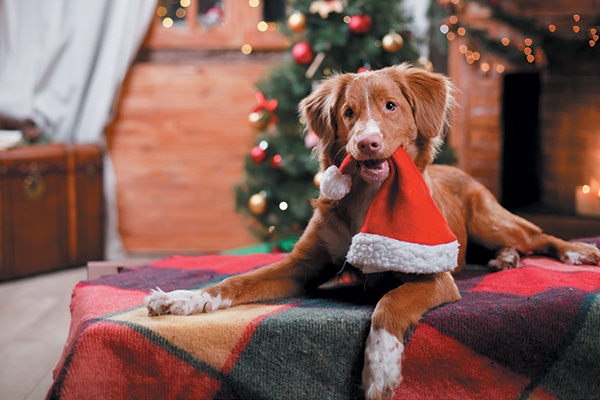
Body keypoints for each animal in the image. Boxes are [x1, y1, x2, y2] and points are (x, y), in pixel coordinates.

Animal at [146, 64, 600, 398]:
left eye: (391, 106)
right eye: (348, 113)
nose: (366, 143)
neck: (367, 199)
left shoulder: (434, 276)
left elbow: (388, 306)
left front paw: (381, 368)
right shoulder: (300, 266)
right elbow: (235, 281)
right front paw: (182, 299)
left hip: (490, 219)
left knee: (538, 236)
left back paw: (575, 252)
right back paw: (504, 260)